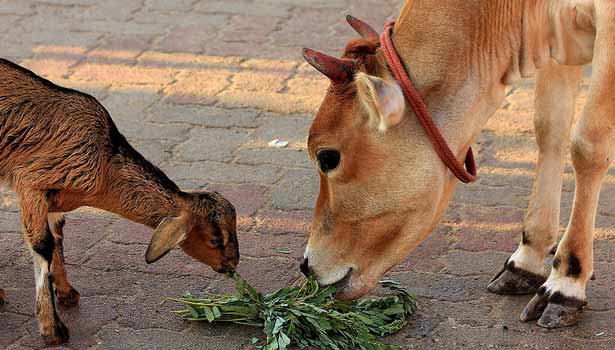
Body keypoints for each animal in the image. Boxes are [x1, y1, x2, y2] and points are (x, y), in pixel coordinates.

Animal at [0, 58, 239, 344]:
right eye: (215, 240)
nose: (232, 264)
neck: (103, 163)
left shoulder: (54, 199)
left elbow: (57, 236)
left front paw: (67, 292)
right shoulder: (31, 184)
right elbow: (43, 246)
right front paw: (52, 329)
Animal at [300, 0, 608, 330]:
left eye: (327, 157)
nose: (305, 266)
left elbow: (587, 146)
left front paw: (566, 282)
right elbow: (550, 128)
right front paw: (527, 260)